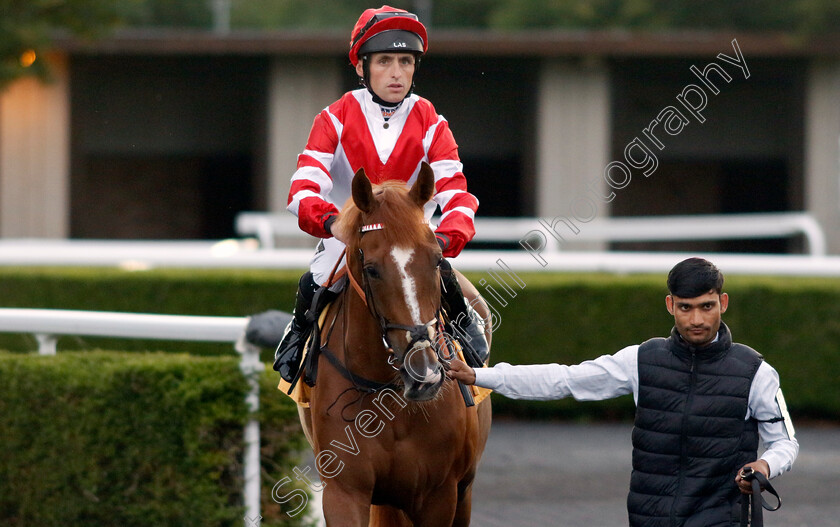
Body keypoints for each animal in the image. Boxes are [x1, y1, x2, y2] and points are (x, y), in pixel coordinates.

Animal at [298, 163, 492, 524]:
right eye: (371, 269)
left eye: (437, 259)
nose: (424, 372)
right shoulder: (344, 491)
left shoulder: (439, 494)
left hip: (464, 492)